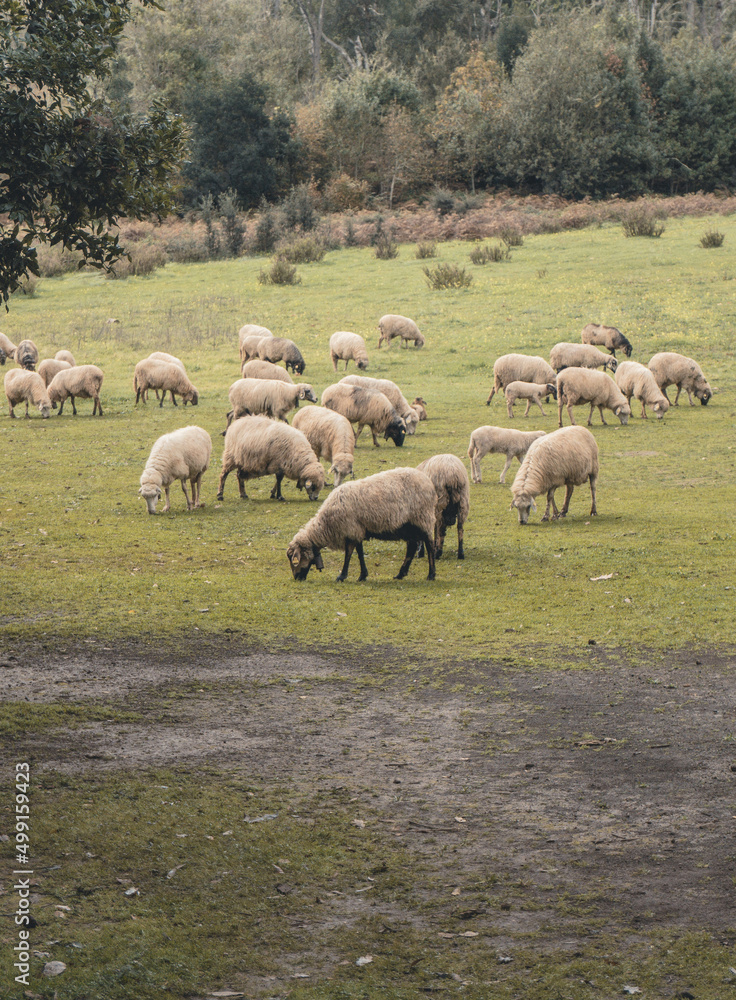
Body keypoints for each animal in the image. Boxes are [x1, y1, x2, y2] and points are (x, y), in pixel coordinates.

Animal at [286, 466, 436, 584]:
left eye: (294, 559)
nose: (297, 577)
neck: (326, 524)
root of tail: (428, 481)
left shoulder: (350, 529)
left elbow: (348, 554)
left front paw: (342, 576)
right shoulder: (356, 530)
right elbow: (359, 553)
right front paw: (362, 575)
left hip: (423, 518)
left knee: (429, 545)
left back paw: (431, 574)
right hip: (408, 525)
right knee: (412, 547)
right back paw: (400, 574)